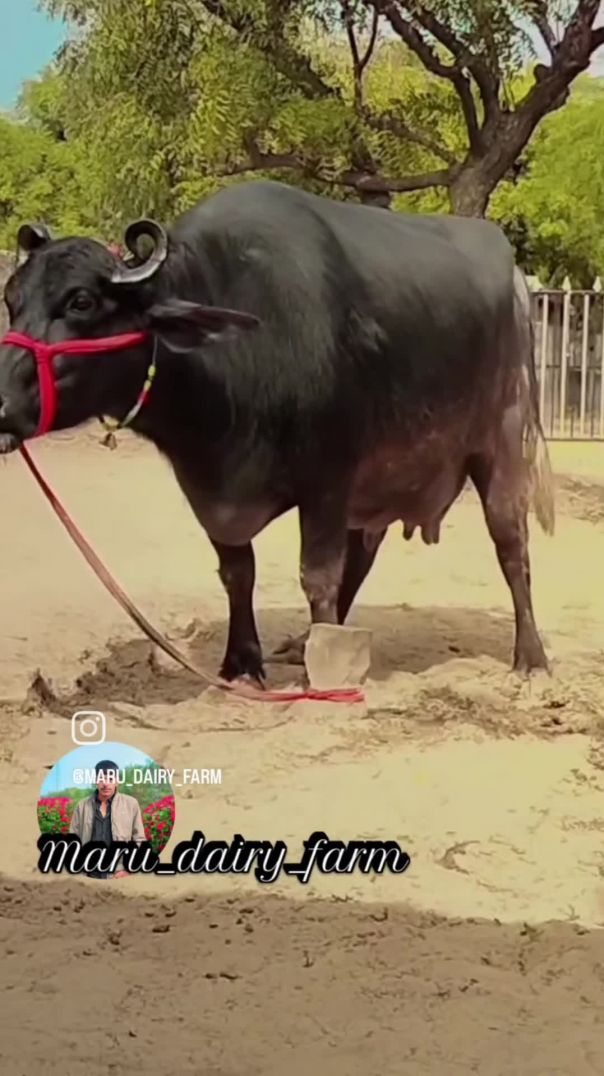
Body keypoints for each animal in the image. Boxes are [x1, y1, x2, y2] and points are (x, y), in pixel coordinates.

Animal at [0, 179, 554, 685]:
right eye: (12, 299)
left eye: (81, 302)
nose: (1, 405)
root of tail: (512, 275)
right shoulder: (209, 492)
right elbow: (238, 574)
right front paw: (243, 662)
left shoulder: (328, 479)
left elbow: (318, 575)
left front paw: (323, 676)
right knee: (364, 554)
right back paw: (307, 642)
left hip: (502, 440)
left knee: (511, 542)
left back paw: (530, 657)